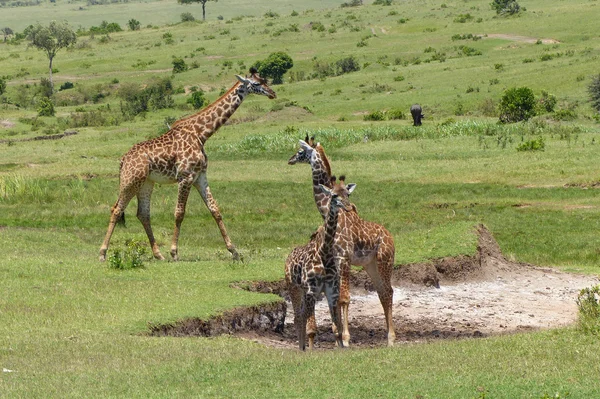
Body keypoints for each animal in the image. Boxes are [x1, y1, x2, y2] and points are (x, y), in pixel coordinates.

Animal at [99, 69, 276, 262]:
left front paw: (234, 251)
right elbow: (179, 213)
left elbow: (215, 209)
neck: (201, 133)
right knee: (116, 209)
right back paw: (102, 253)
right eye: (256, 84)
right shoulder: (185, 176)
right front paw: (174, 252)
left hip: (146, 183)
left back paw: (158, 254)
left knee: (143, 214)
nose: (272, 93)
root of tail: (123, 159)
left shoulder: (200, 176)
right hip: (131, 180)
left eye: (264, 80)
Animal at [284, 177, 354, 352]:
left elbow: (336, 327)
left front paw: (341, 347)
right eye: (334, 195)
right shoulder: (311, 289)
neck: (324, 253)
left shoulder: (331, 290)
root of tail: (287, 258)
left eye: (348, 193)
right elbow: (312, 328)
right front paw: (311, 351)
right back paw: (301, 348)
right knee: (297, 316)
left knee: (301, 315)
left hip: (304, 292)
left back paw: (302, 347)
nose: (348, 207)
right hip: (294, 288)